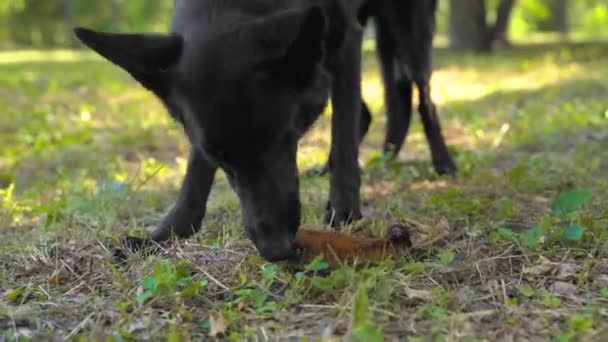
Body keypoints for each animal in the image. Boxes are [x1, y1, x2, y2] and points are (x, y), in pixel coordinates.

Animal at [73, 0, 454, 262]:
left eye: (285, 138)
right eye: (222, 159)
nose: (276, 250)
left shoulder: (346, 39)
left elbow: (344, 138)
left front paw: (344, 212)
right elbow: (196, 172)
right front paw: (167, 232)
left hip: (407, 29)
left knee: (422, 97)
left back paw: (443, 160)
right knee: (365, 112)